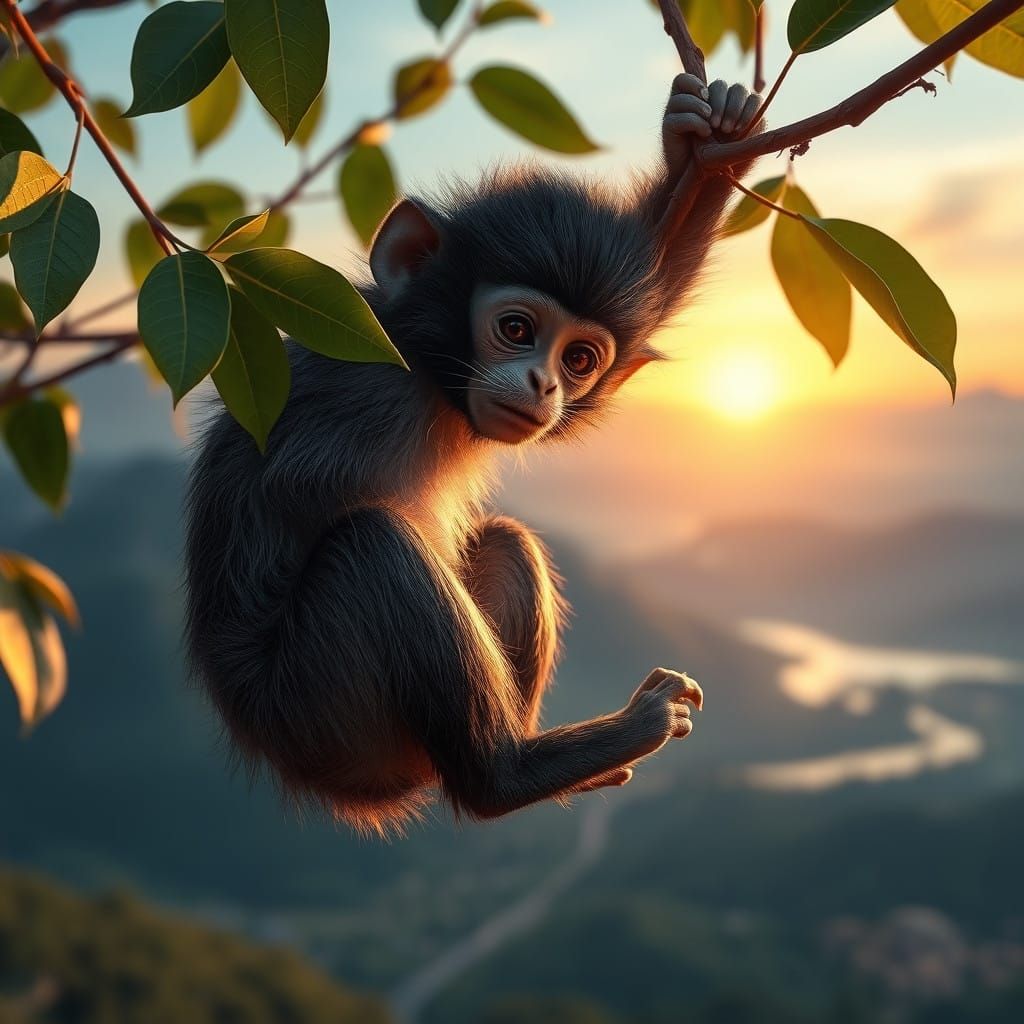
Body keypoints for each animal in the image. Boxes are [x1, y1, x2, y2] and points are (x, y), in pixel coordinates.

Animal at [184, 74, 764, 836]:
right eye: (515, 330)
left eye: (580, 359)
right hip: (322, 702)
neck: (432, 381)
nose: (544, 383)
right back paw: (515, 770)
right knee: (374, 541)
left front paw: (703, 147)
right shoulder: (367, 386)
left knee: (503, 539)